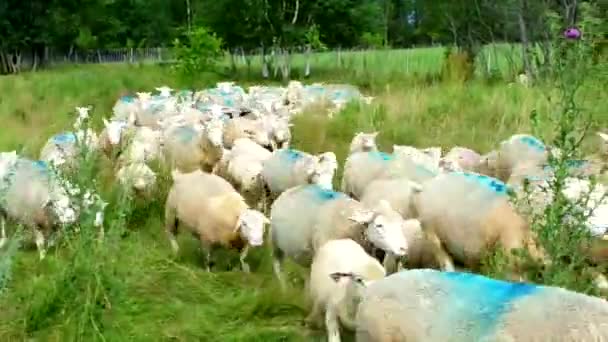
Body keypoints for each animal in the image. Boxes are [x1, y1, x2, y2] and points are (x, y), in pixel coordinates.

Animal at [270, 184, 408, 288]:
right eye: (379, 225)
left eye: (401, 224)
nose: (403, 249)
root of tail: (293, 188)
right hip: (275, 243)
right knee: (278, 267)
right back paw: (284, 290)